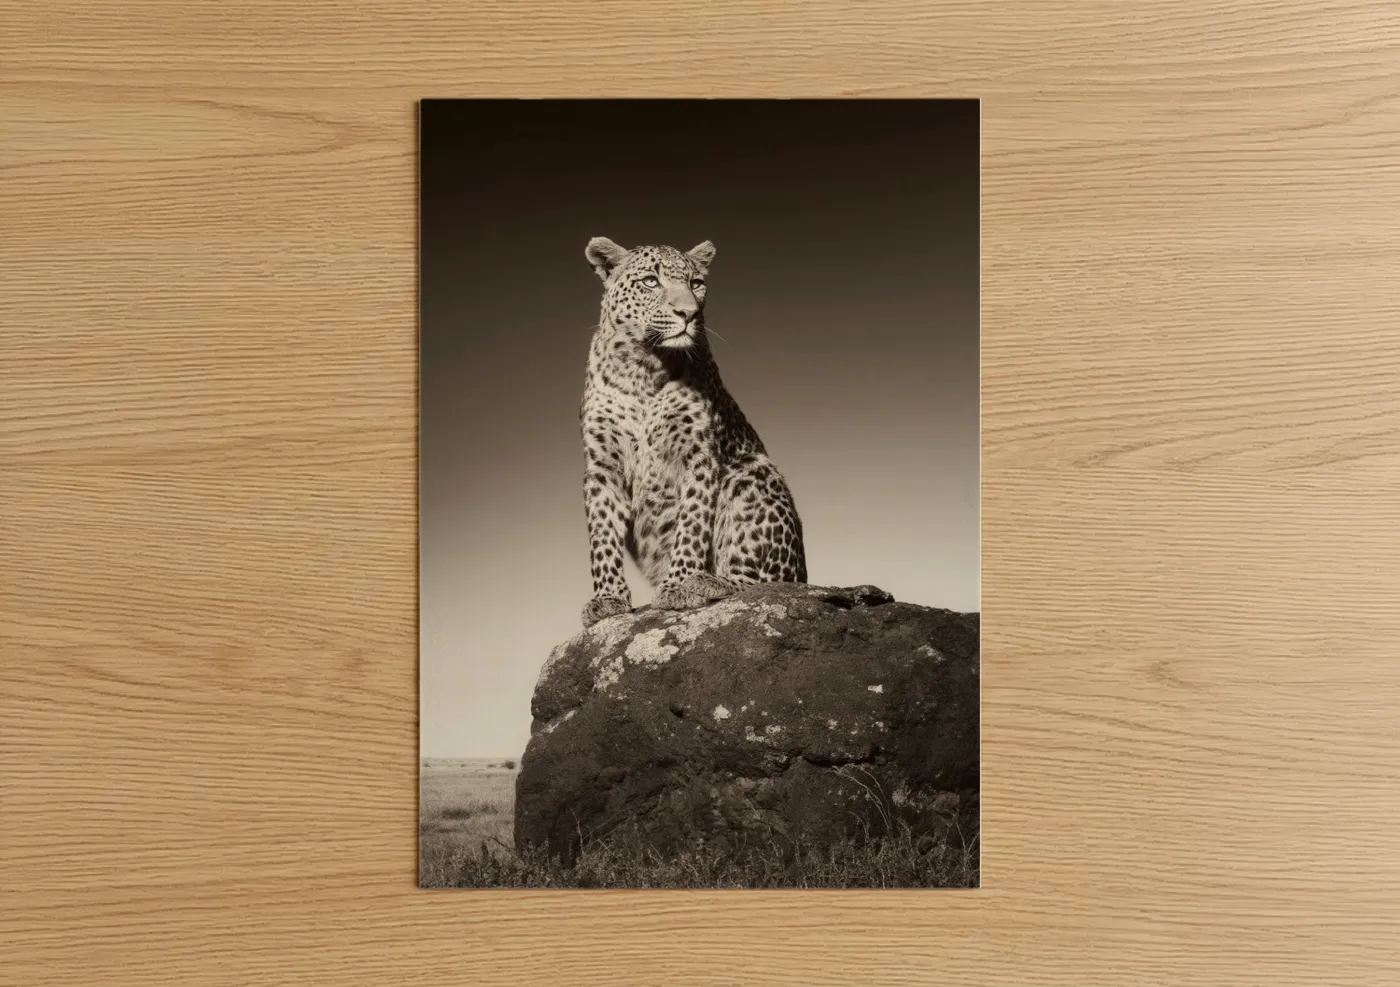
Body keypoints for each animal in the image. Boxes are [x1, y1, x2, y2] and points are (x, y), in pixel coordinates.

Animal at [579, 236, 807, 628]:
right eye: (650, 281)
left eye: (696, 283)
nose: (689, 314)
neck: (644, 366)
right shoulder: (603, 464)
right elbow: (602, 534)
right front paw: (607, 598)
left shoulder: (700, 455)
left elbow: (692, 522)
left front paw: (680, 584)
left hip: (750, 471)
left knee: (766, 584)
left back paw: (712, 582)